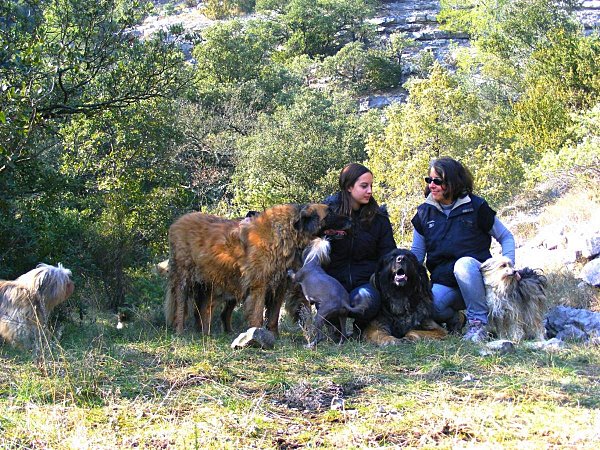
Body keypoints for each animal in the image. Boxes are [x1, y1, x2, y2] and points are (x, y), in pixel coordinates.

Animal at [164, 203, 352, 334]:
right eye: (330, 212)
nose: (351, 220)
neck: (287, 233)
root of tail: (176, 223)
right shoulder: (259, 285)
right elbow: (257, 314)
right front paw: (256, 334)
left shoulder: (279, 286)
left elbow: (273, 316)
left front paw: (274, 336)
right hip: (184, 278)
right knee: (181, 306)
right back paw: (180, 331)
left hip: (209, 283)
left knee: (203, 309)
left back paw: (206, 333)